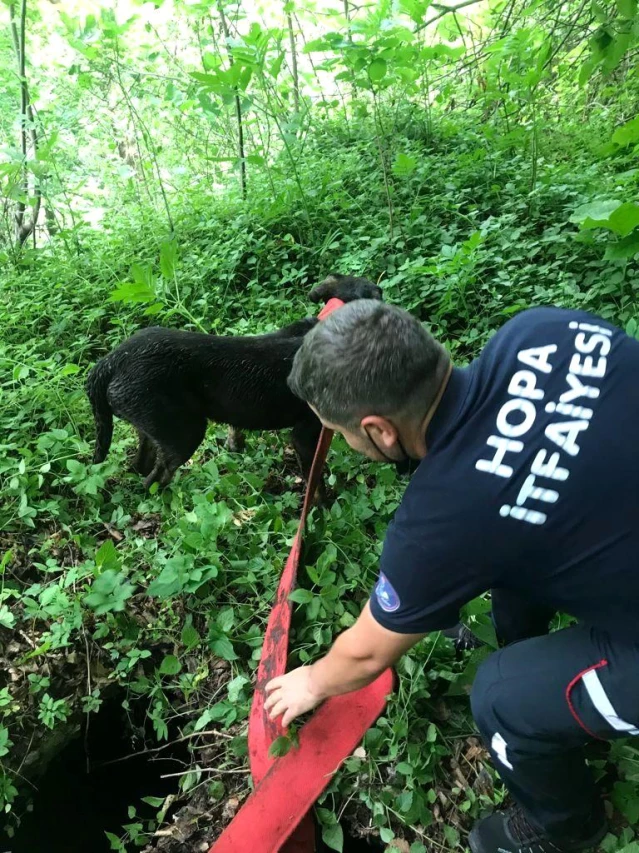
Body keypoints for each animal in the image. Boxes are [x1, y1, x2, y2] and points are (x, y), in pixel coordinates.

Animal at [87, 272, 382, 486]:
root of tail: (109, 362)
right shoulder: (306, 434)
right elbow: (316, 484)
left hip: (151, 426)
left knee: (141, 468)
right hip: (185, 433)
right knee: (155, 480)